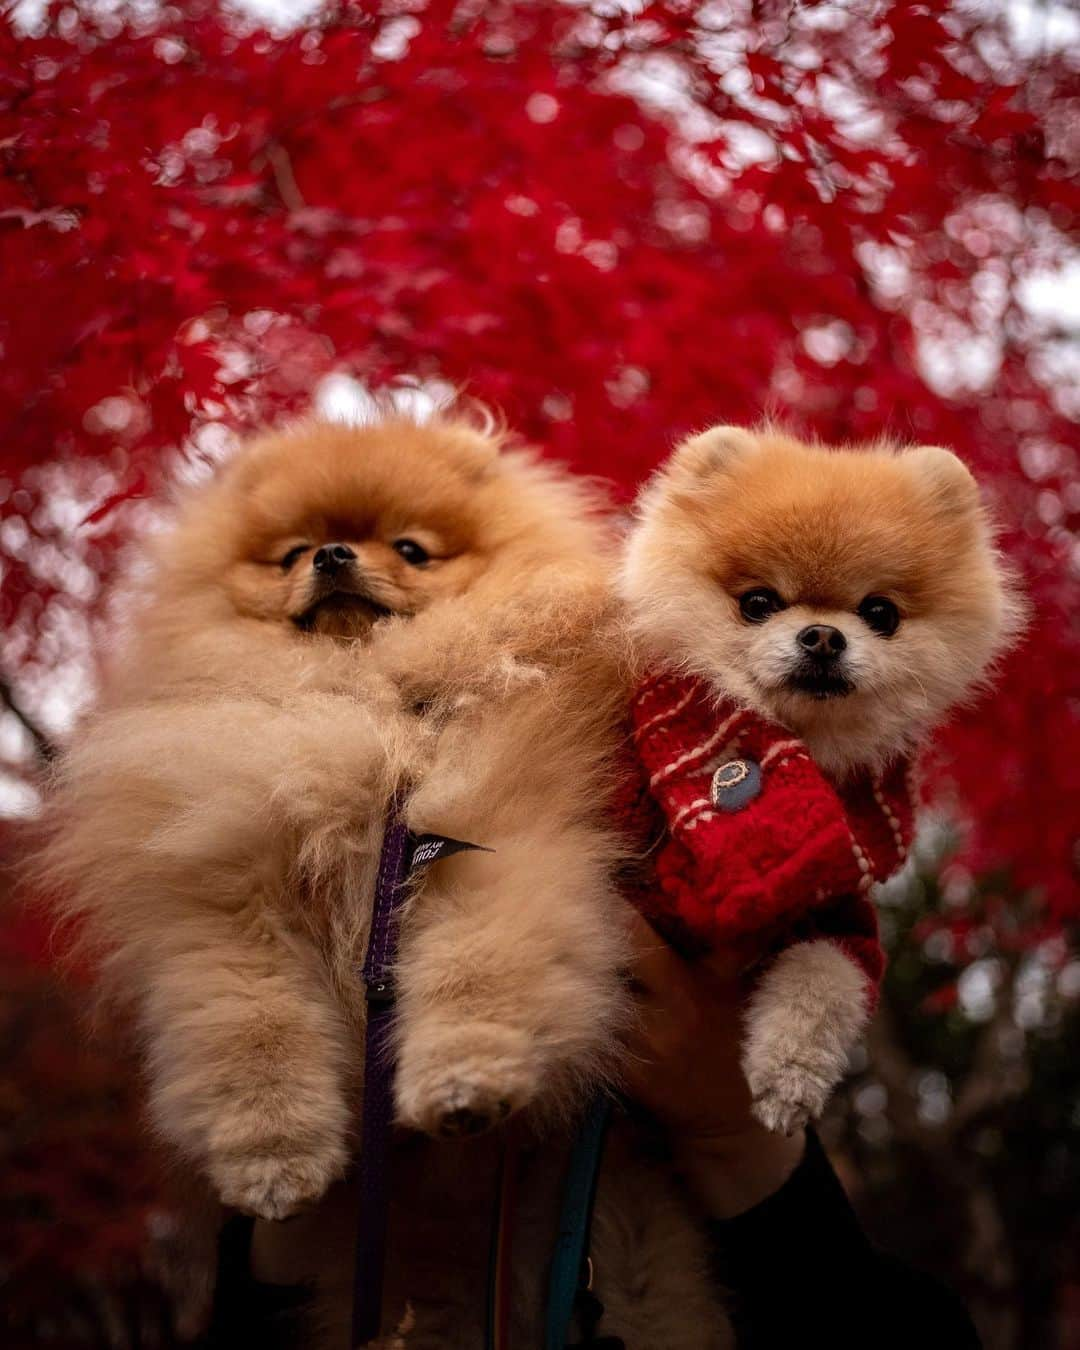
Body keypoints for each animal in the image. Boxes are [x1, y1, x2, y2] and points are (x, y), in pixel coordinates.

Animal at [37, 415, 629, 1231]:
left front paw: (463, 1082)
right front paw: (274, 1159)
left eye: (410, 549)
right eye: (292, 552)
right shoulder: (231, 910)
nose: (333, 553)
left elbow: (475, 967)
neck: (357, 688)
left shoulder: (486, 847)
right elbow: (255, 1031)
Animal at [615, 426, 1020, 1134]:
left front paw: (789, 1078)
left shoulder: (831, 909)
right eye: (758, 603)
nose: (825, 637)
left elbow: (825, 979)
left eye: (880, 612)